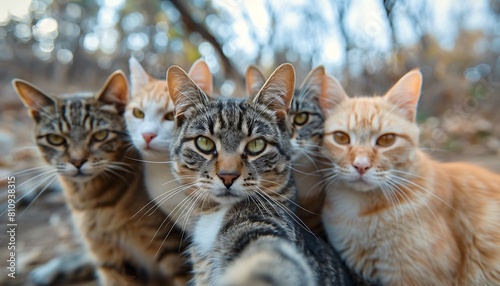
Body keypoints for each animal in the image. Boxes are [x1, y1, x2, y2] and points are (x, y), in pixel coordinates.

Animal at [12, 70, 191, 284]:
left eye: (100, 135)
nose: (77, 161)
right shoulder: (110, 260)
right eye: (55, 139)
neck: (92, 202)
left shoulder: (174, 248)